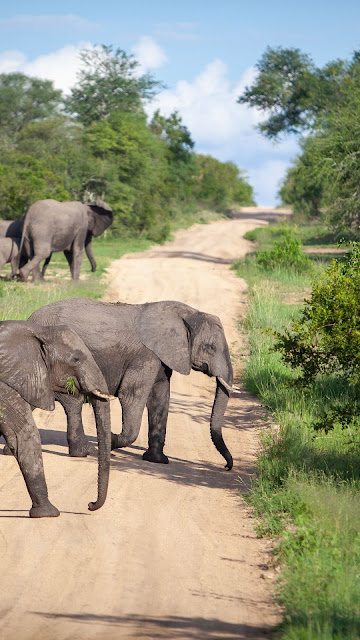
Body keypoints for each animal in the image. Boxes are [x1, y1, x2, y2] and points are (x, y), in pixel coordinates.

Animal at [0, 320, 112, 516]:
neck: (38, 331)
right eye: (76, 359)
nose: (89, 505)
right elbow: (24, 435)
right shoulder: (3, 388)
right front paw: (48, 514)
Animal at [29, 298, 238, 470]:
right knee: (72, 401)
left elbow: (160, 398)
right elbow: (131, 395)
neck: (186, 314)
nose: (226, 467)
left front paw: (157, 460)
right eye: (211, 348)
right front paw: (111, 441)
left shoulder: (161, 357)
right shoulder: (145, 356)